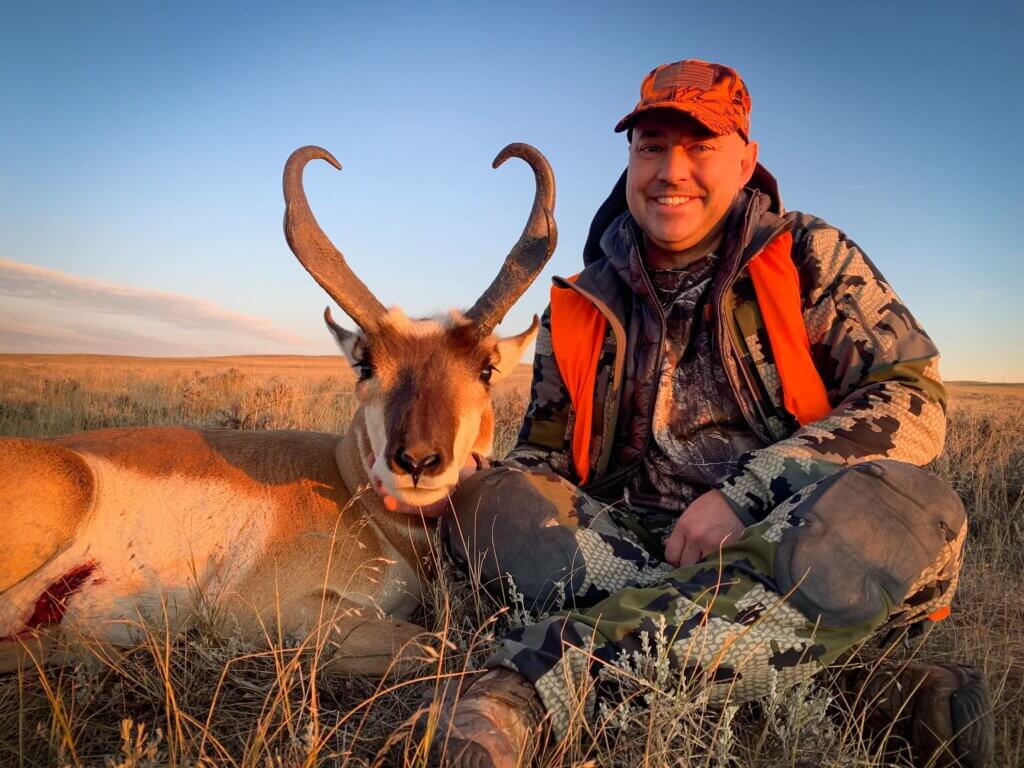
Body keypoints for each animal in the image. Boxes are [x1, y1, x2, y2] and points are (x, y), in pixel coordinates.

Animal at [0, 143, 556, 676]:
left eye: (486, 369)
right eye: (366, 365)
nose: (418, 461)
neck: (346, 484)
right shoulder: (270, 612)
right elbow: (430, 644)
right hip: (69, 487)